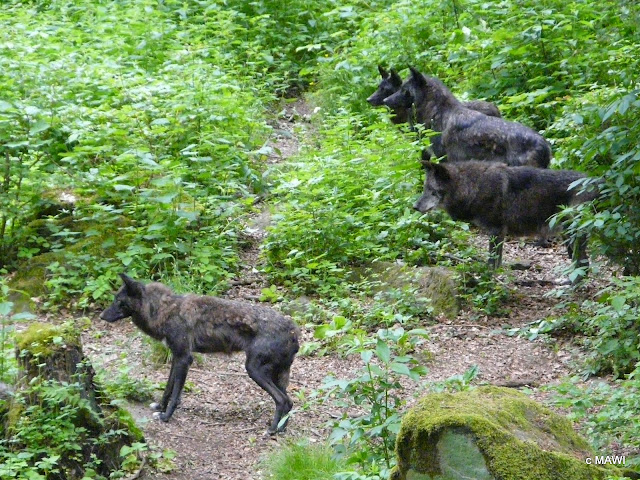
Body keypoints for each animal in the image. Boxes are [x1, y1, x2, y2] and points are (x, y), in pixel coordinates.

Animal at [100, 274, 300, 435]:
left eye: (119, 301)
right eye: (115, 299)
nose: (101, 316)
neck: (163, 310)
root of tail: (293, 331)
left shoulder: (184, 359)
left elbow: (175, 395)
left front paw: (166, 417)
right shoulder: (177, 358)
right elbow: (168, 388)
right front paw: (160, 407)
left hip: (253, 370)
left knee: (282, 400)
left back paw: (272, 430)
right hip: (276, 374)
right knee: (289, 401)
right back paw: (281, 429)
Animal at [413, 161, 598, 270]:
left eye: (432, 190)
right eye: (425, 189)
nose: (414, 206)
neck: (473, 187)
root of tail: (596, 182)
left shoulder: (496, 230)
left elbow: (492, 261)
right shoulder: (499, 233)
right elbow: (498, 261)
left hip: (572, 235)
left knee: (583, 263)